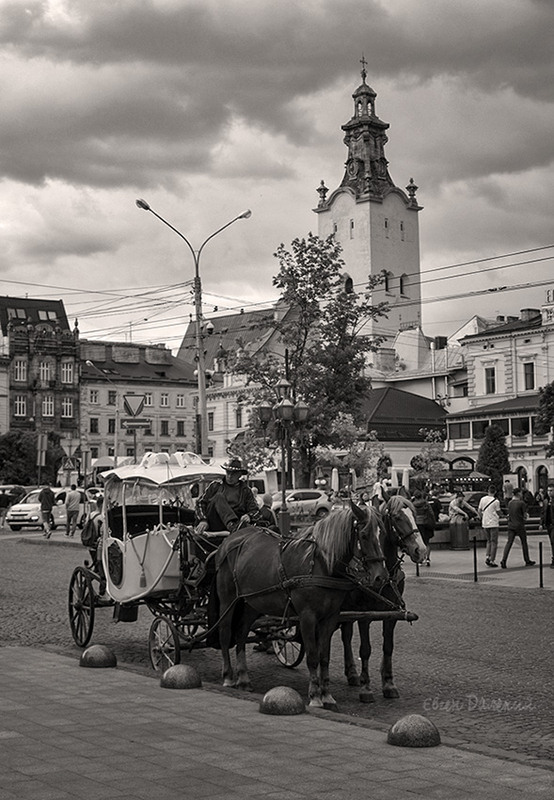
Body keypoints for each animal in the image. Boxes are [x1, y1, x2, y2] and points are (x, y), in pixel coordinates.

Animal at [213, 504, 386, 708]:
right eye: (364, 535)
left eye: (382, 533)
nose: (381, 577)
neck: (320, 564)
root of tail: (230, 539)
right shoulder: (307, 617)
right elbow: (312, 656)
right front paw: (315, 696)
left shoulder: (330, 617)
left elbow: (324, 657)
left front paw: (327, 695)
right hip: (228, 600)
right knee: (225, 633)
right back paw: (228, 676)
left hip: (252, 602)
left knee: (241, 633)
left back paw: (243, 678)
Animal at [338, 496, 424, 704]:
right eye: (397, 517)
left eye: (414, 514)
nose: (421, 550)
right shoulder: (364, 615)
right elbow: (365, 649)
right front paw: (366, 688)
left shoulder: (392, 614)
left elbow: (388, 647)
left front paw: (388, 683)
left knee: (346, 635)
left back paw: (352, 674)